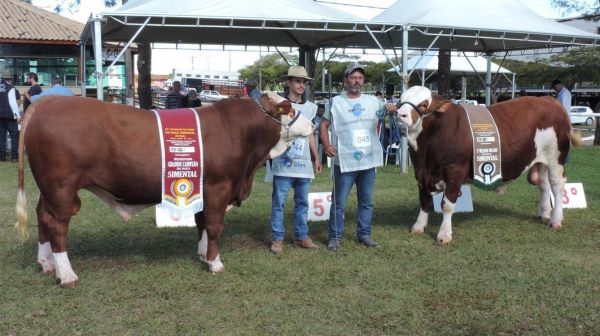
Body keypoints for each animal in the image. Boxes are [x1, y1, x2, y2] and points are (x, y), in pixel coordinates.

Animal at [15, 93, 314, 288]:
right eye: (288, 109)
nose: (312, 124)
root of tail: (49, 101)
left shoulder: (203, 190)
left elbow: (201, 222)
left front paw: (202, 255)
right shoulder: (218, 187)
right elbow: (214, 225)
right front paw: (215, 263)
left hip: (48, 189)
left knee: (42, 216)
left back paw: (46, 263)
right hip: (61, 187)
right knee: (57, 224)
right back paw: (66, 275)